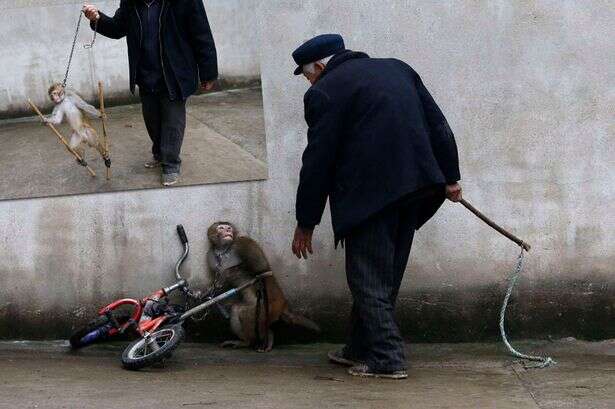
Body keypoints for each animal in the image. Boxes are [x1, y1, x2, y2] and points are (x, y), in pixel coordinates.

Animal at [207, 220, 322, 350]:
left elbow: (263, 269)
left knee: (245, 313)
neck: (224, 250)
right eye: (221, 228)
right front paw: (216, 285)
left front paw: (227, 273)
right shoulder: (211, 255)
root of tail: (282, 305)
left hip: (265, 309)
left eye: (229, 228)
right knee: (236, 309)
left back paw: (254, 339)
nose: (227, 231)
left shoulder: (243, 243)